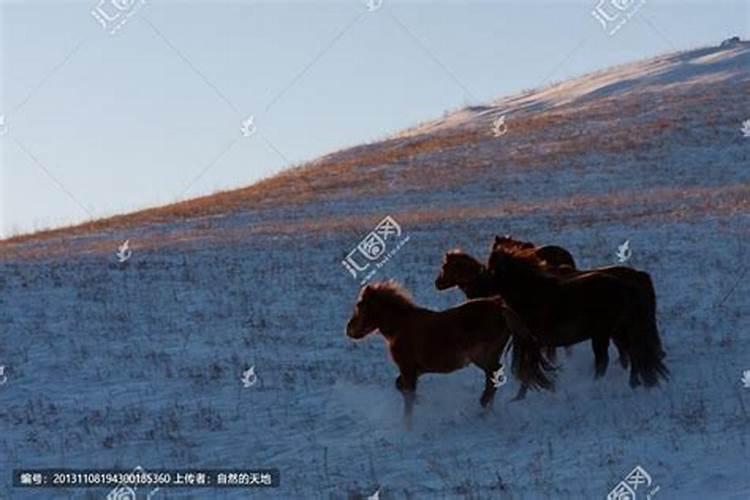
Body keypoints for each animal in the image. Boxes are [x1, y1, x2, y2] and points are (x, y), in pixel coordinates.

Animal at [346, 282, 552, 426]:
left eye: (360, 305)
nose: (349, 330)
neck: (401, 327)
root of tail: (499, 306)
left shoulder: (408, 369)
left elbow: (407, 395)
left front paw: (408, 425)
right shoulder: (415, 371)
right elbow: (400, 387)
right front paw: (422, 403)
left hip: (483, 357)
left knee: (493, 377)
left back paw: (482, 408)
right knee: (493, 379)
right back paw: (487, 409)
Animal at [490, 245, 672, 390]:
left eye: (491, 270)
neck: (532, 293)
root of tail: (630, 284)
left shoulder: (531, 340)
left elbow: (531, 368)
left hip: (604, 333)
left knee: (609, 359)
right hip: (618, 331)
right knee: (632, 354)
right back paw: (633, 382)